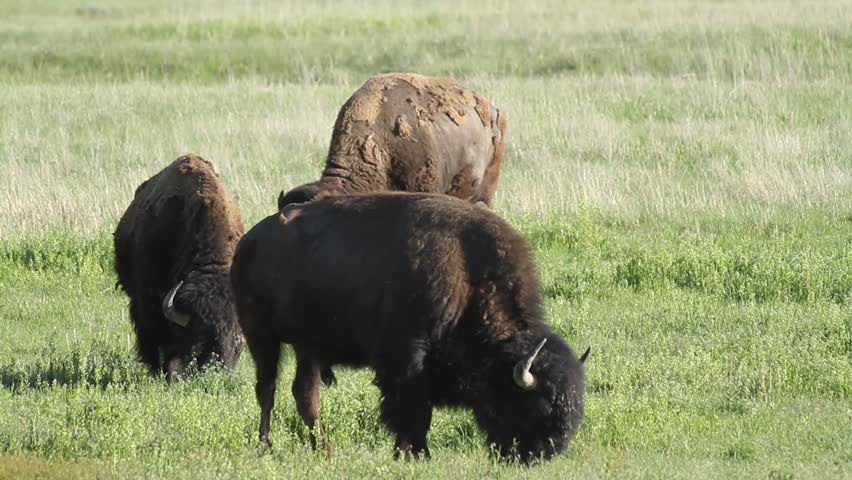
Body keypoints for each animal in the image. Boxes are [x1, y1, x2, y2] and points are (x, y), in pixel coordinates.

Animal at [231, 192, 587, 462]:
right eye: (538, 404)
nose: (543, 454)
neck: (469, 277)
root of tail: (249, 240)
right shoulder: (407, 356)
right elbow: (413, 407)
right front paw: (415, 453)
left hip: (308, 346)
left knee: (304, 394)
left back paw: (324, 450)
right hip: (261, 335)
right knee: (267, 389)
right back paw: (264, 446)